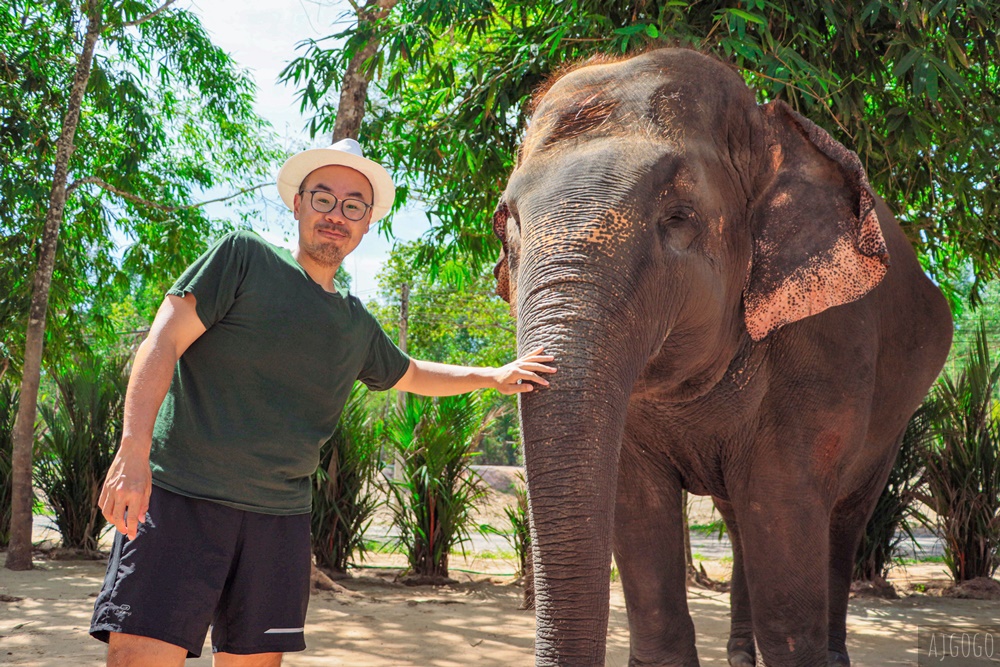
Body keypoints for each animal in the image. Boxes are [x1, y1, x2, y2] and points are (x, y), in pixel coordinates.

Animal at [492, 48, 952, 667]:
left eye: (679, 217)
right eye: (506, 225)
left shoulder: (828, 342)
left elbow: (785, 522)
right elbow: (637, 509)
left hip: (894, 419)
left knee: (843, 521)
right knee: (739, 519)